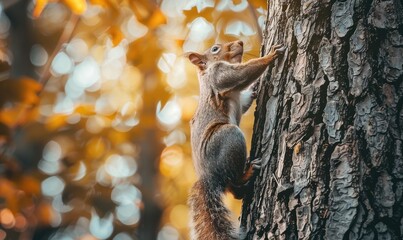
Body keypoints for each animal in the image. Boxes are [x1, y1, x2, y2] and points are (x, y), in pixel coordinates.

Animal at [186, 40, 284, 239]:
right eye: (215, 48)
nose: (240, 42)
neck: (207, 72)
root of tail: (208, 177)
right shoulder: (219, 75)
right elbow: (241, 74)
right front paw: (270, 55)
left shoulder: (238, 96)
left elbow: (244, 100)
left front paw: (255, 87)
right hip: (229, 138)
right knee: (234, 178)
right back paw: (249, 171)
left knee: (233, 188)